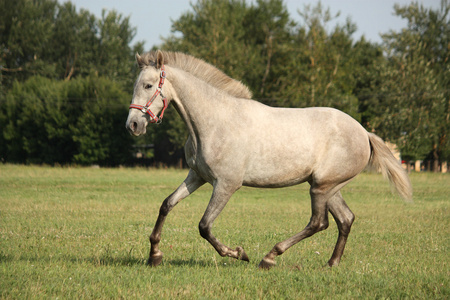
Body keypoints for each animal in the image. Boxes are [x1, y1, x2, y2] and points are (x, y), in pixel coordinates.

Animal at [125, 51, 412, 270]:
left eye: (148, 86)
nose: (133, 125)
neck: (214, 122)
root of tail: (364, 133)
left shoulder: (226, 184)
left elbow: (204, 226)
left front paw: (238, 253)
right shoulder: (197, 177)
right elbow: (166, 205)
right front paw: (154, 256)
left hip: (321, 187)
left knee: (319, 222)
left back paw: (269, 258)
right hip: (328, 187)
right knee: (345, 219)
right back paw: (331, 263)